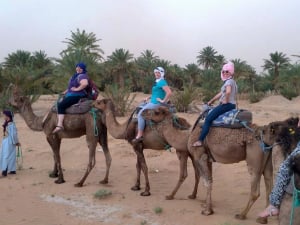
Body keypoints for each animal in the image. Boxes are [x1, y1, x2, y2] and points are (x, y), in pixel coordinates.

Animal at [142, 106, 274, 220]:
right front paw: (206, 206)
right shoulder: (208, 159)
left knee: (255, 190)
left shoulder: (201, 156)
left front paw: (207, 211)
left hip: (254, 160)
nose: (142, 111)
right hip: (267, 162)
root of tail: (265, 138)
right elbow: (210, 180)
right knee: (269, 184)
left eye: (157, 112)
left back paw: (241, 215)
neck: (188, 136)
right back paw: (263, 219)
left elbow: (206, 182)